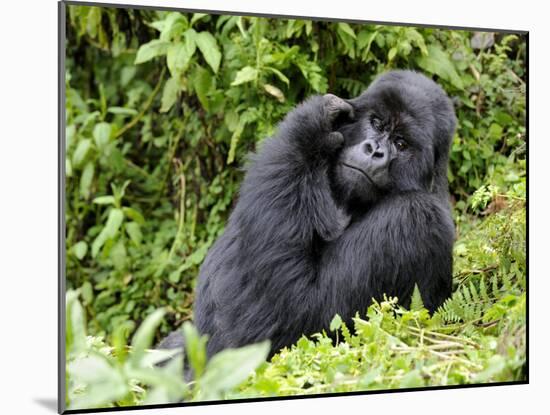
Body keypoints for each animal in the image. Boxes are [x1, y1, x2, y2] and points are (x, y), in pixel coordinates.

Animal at [158, 70, 458, 360]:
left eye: (401, 143)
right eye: (376, 123)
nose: (375, 150)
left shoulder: (415, 216)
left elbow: (304, 315)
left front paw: (308, 129)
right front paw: (319, 124)